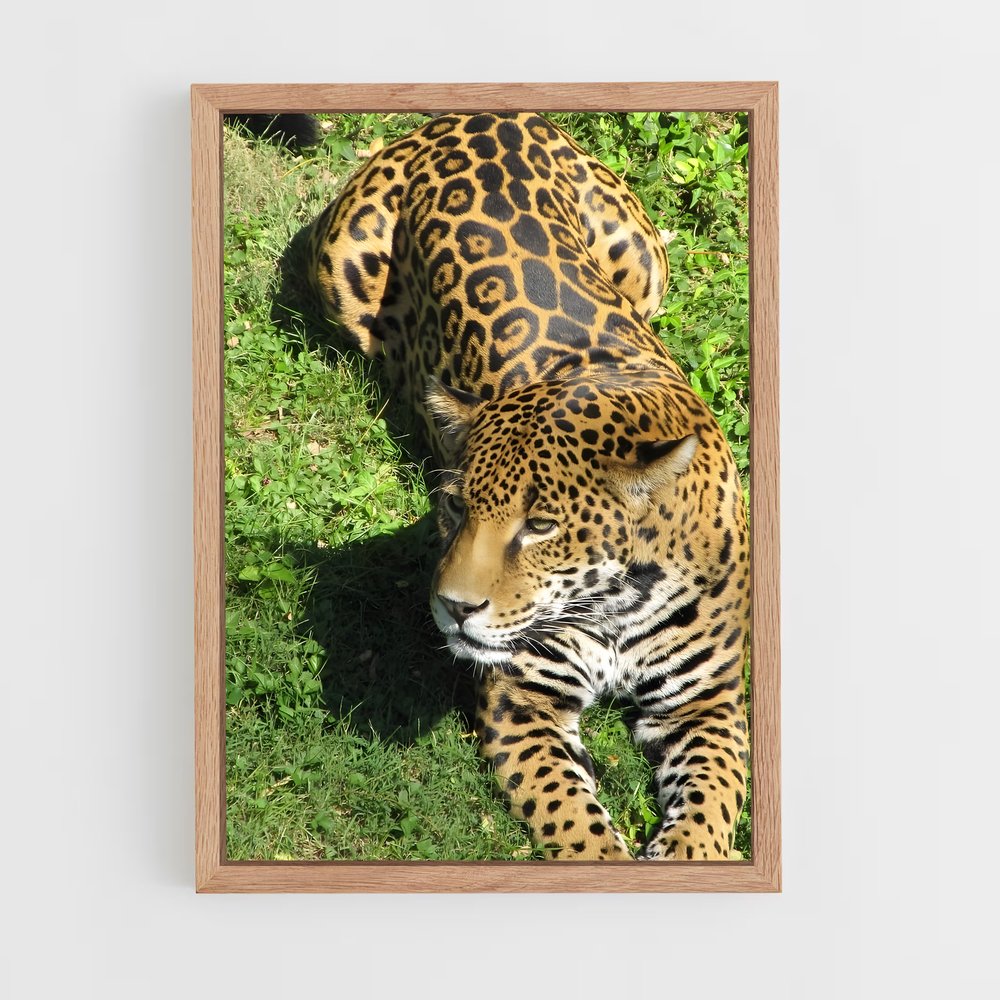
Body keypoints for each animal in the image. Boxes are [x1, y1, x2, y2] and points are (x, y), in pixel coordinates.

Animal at [306, 112, 749, 860]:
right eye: (455, 507)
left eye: (541, 526)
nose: (453, 608)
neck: (617, 606)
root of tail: (475, 115)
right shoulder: (524, 699)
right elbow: (574, 819)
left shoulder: (708, 700)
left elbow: (712, 802)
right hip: (343, 262)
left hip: (646, 263)